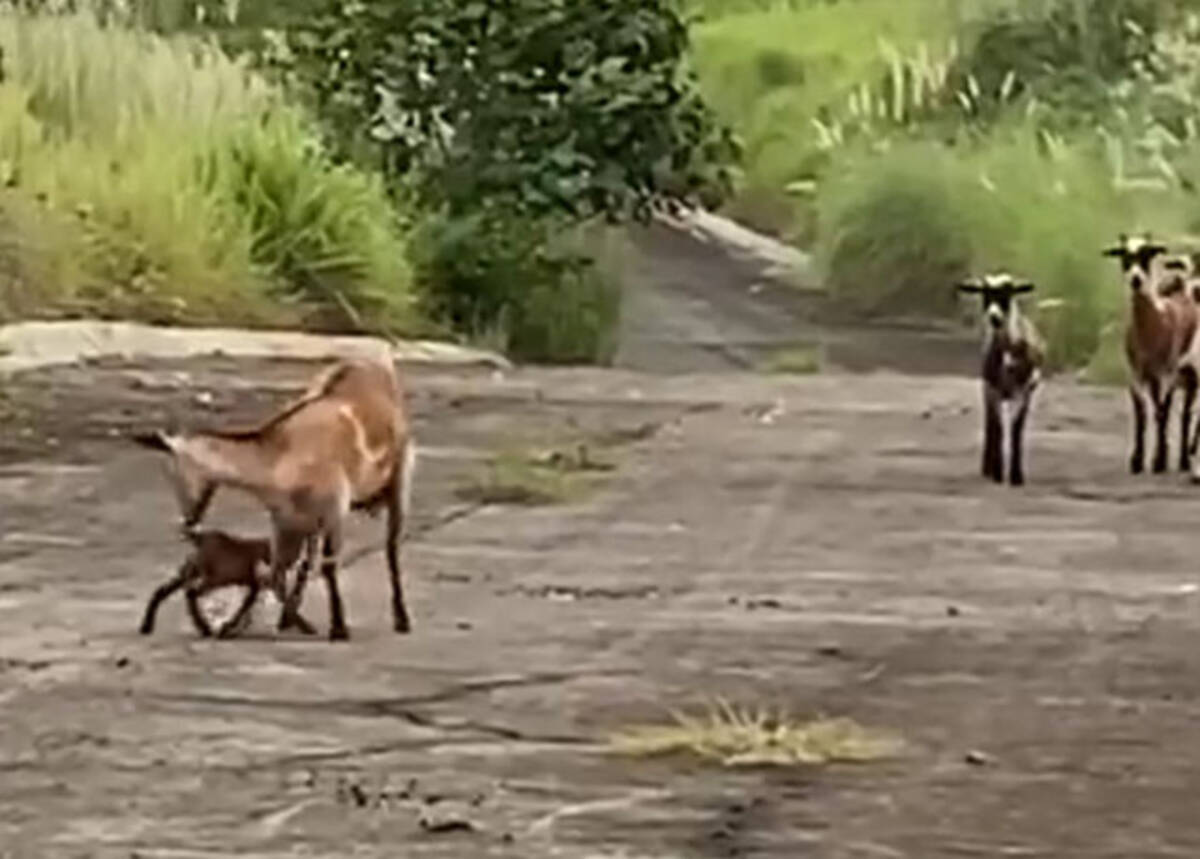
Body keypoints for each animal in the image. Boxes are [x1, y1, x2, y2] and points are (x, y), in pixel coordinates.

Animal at [132, 357, 417, 643]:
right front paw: (239, 625)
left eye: (172, 473)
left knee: (391, 547)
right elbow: (273, 573)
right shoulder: (284, 522)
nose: (188, 522)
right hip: (308, 522)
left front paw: (338, 627)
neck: (281, 458)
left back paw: (402, 618)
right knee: (304, 563)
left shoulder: (335, 509)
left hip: (399, 478)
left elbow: (327, 567)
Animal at [955, 277, 1041, 487]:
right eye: (985, 294)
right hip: (989, 390)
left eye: (1007, 294)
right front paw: (998, 472)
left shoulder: (1023, 392)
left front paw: (1017, 476)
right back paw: (988, 467)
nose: (994, 317)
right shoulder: (993, 390)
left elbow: (1016, 430)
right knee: (991, 425)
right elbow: (999, 428)